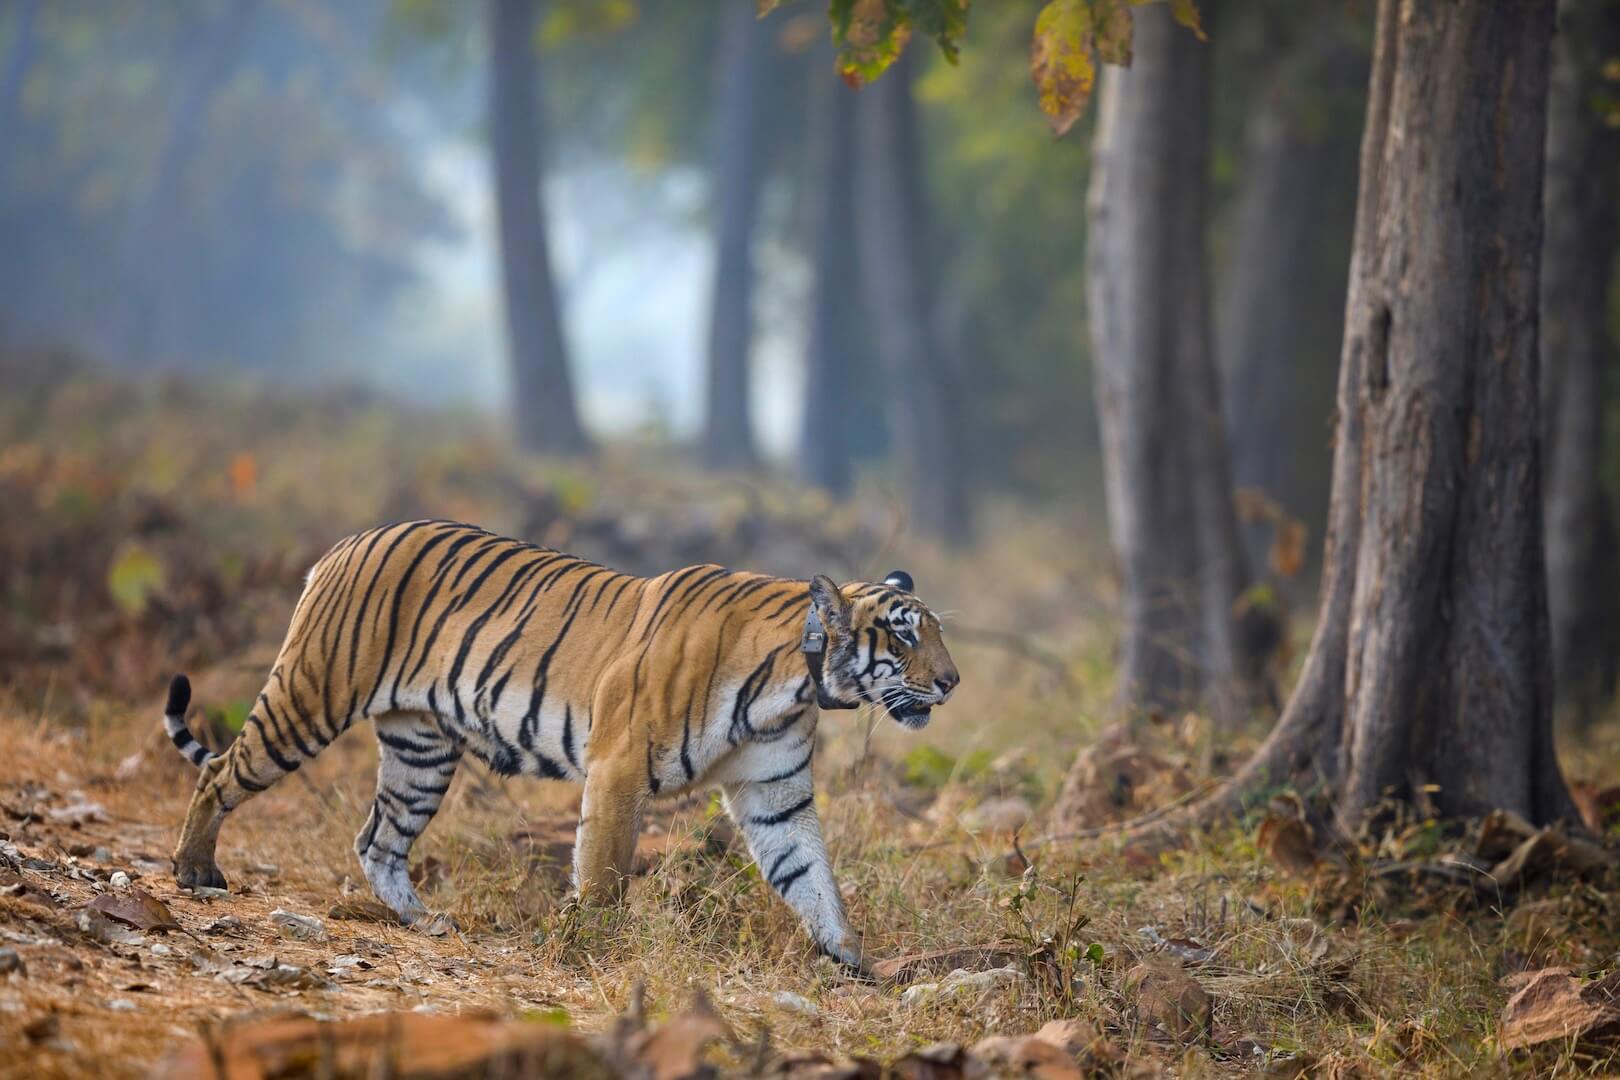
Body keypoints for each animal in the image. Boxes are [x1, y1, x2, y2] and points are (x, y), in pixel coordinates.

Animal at [162, 519, 959, 971]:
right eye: (904, 635)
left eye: (936, 632)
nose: (951, 682)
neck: (795, 682)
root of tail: (344, 544)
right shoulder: (618, 767)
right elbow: (603, 870)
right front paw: (595, 947)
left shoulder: (775, 794)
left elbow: (812, 875)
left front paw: (851, 957)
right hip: (311, 695)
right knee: (221, 772)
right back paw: (196, 870)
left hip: (422, 749)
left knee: (377, 839)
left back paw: (425, 921)